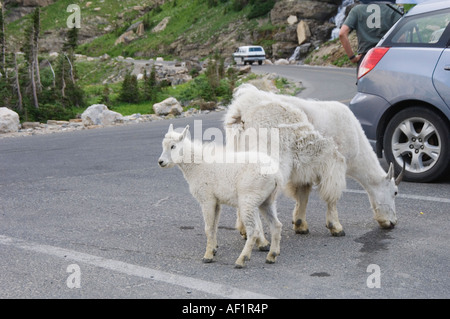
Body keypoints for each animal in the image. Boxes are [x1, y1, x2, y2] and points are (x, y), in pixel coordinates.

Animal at [225, 84, 404, 238]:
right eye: (395, 192)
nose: (393, 223)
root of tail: (241, 111)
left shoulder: (305, 171)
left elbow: (303, 194)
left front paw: (300, 225)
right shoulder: (336, 164)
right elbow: (332, 196)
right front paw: (336, 227)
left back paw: (244, 230)